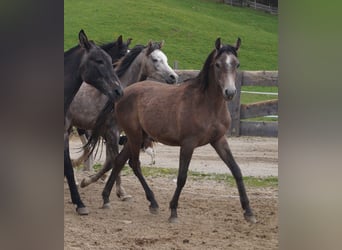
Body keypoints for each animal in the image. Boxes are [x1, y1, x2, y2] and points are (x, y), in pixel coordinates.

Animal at [64, 41, 178, 197]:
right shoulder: (112, 132)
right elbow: (113, 161)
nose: (174, 77)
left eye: (165, 59)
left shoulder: (112, 133)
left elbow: (111, 161)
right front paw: (119, 191)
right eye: (155, 60)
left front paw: (91, 181)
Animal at [100, 36, 255, 223]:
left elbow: (236, 171)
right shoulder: (188, 144)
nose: (229, 92)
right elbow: (182, 177)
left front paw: (248, 211)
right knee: (134, 164)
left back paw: (107, 198)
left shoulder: (219, 140)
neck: (206, 104)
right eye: (218, 64)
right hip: (135, 136)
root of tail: (124, 92)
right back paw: (152, 202)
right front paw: (173, 211)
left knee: (119, 161)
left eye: (236, 64)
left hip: (137, 137)